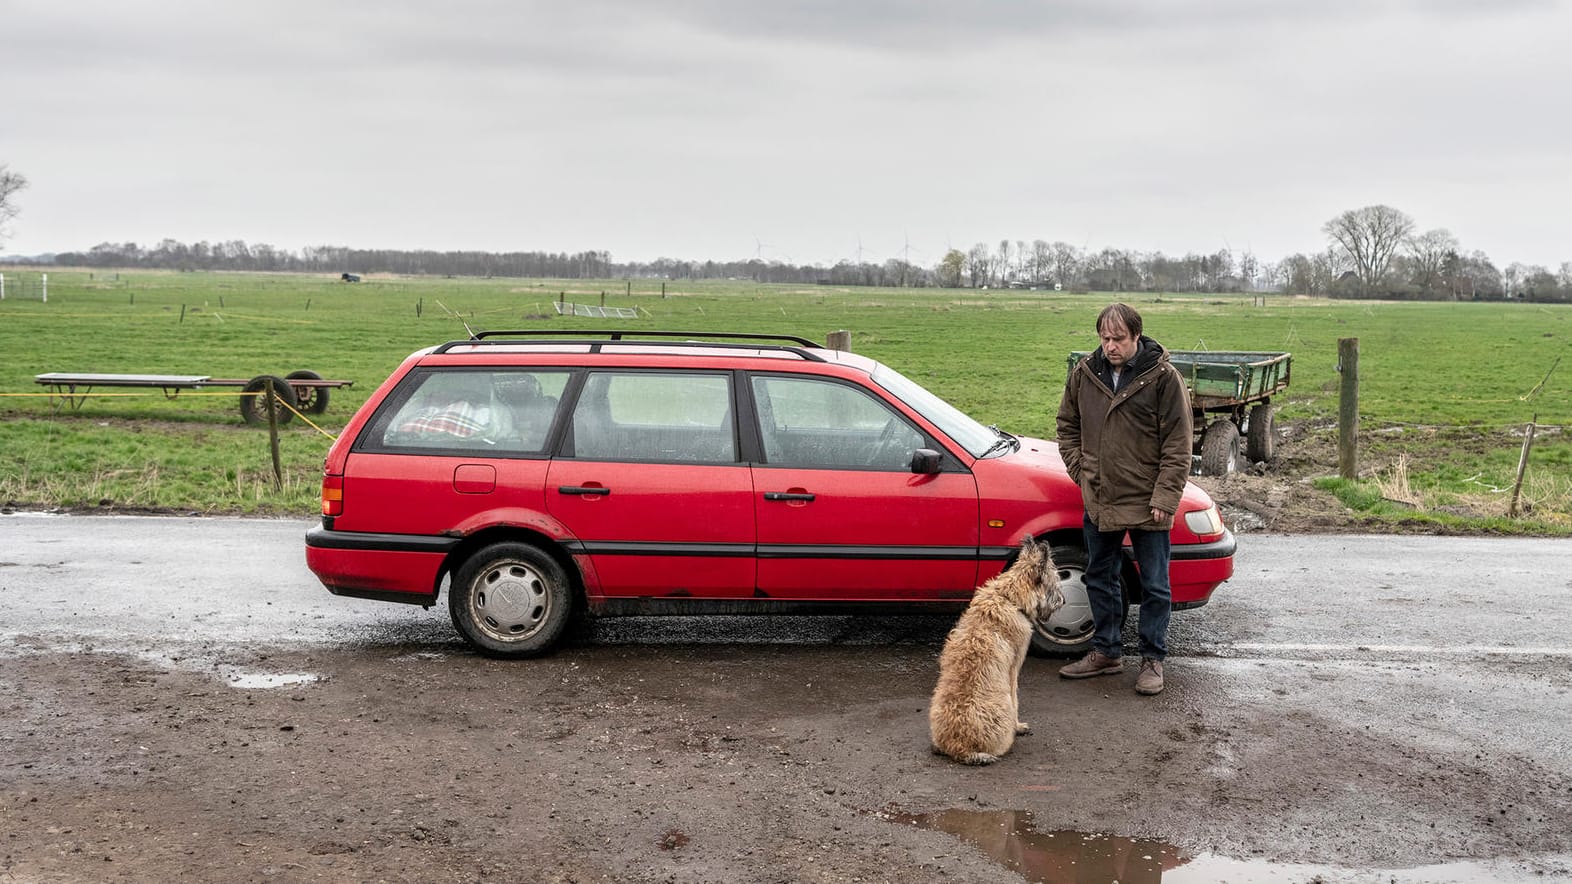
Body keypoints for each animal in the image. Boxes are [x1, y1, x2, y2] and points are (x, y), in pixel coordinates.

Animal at [930, 537, 1068, 764]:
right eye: (1055, 582)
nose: (1064, 600)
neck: (1008, 597)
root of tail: (959, 746)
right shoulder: (1014, 668)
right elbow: (1015, 697)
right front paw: (1018, 726)